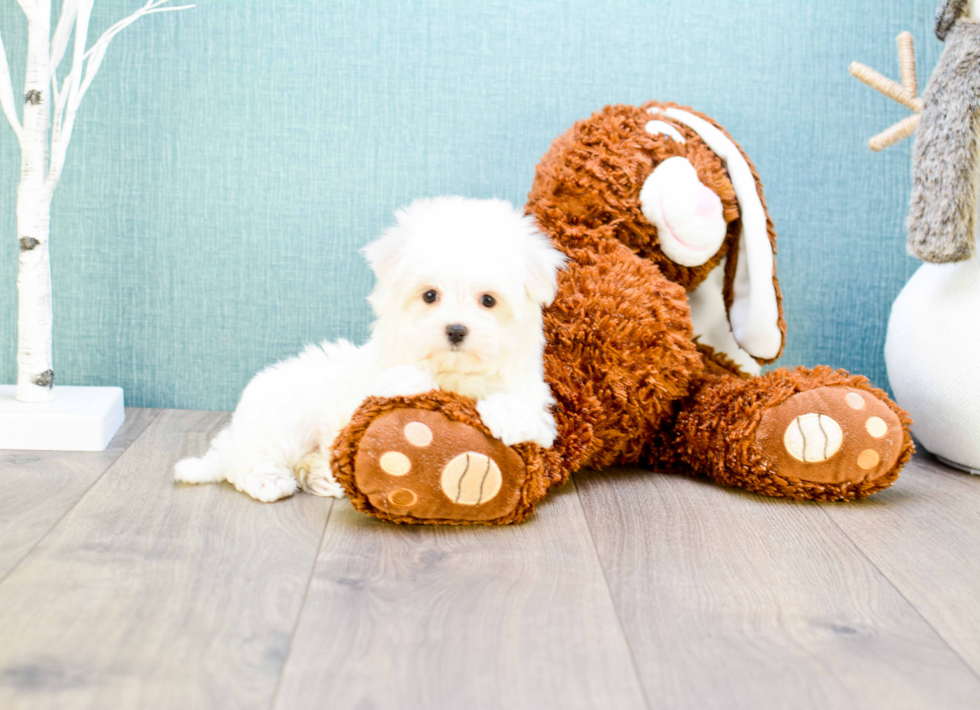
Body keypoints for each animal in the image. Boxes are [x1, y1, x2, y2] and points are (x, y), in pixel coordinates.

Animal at [176, 197, 568, 504]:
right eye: (430, 295)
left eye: (488, 300)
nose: (456, 330)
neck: (453, 372)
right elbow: (397, 380)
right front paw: (414, 381)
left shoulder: (536, 404)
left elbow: (526, 412)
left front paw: (506, 417)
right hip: (286, 417)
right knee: (245, 460)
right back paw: (268, 481)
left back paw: (323, 478)